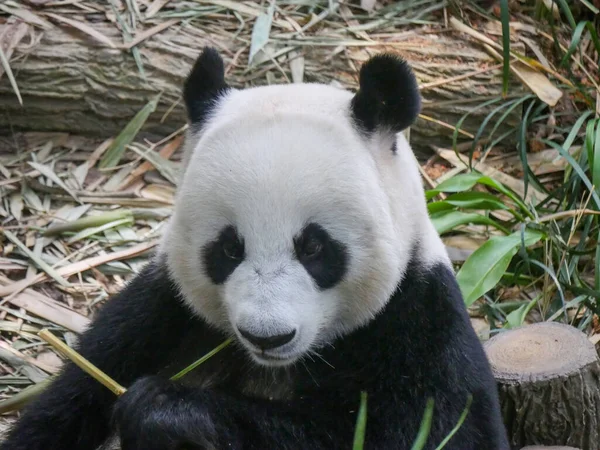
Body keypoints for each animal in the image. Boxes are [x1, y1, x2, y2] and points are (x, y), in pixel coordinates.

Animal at [0, 46, 508, 450]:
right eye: (228, 249)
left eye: (314, 248)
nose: (268, 336)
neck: (278, 365)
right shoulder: (156, 315)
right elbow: (67, 404)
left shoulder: (417, 324)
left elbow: (431, 430)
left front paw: (167, 411)